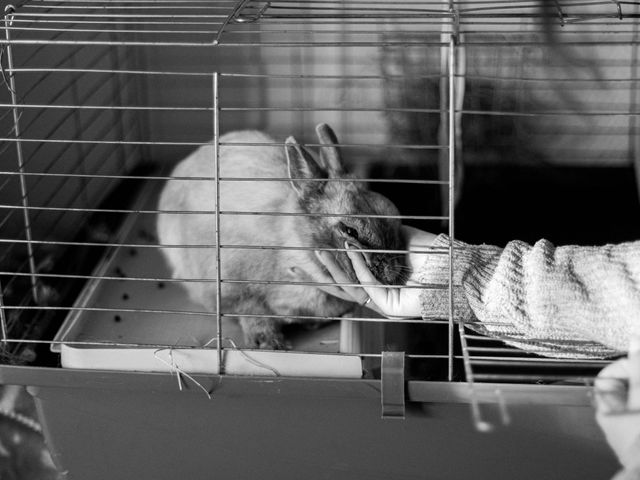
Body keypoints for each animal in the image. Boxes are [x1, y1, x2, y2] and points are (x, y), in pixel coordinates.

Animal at [156, 124, 404, 348]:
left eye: (393, 214)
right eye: (350, 230)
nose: (392, 272)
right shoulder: (228, 290)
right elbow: (251, 312)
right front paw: (269, 343)